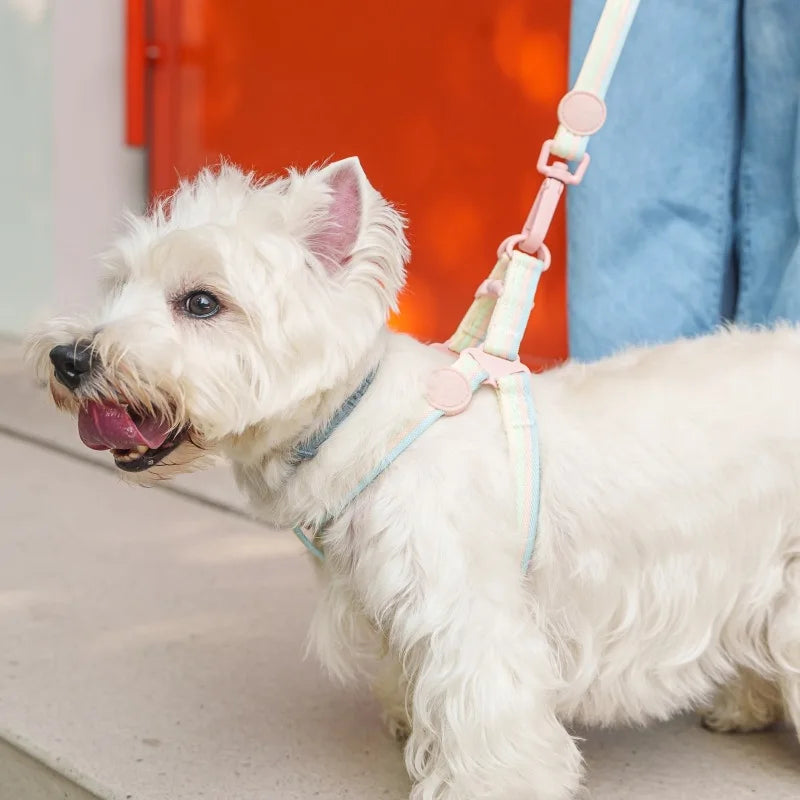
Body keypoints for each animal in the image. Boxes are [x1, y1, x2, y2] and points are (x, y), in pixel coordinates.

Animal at [28, 158, 800, 800]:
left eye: (201, 302)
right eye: (118, 285)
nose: (69, 358)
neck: (357, 425)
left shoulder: (476, 621)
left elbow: (490, 726)